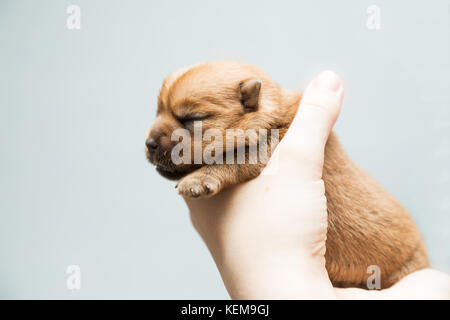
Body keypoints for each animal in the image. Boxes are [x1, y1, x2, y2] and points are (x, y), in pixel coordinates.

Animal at [145, 60, 428, 288]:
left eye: (192, 119)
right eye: (157, 112)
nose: (149, 143)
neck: (271, 113)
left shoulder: (267, 148)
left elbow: (231, 158)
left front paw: (198, 179)